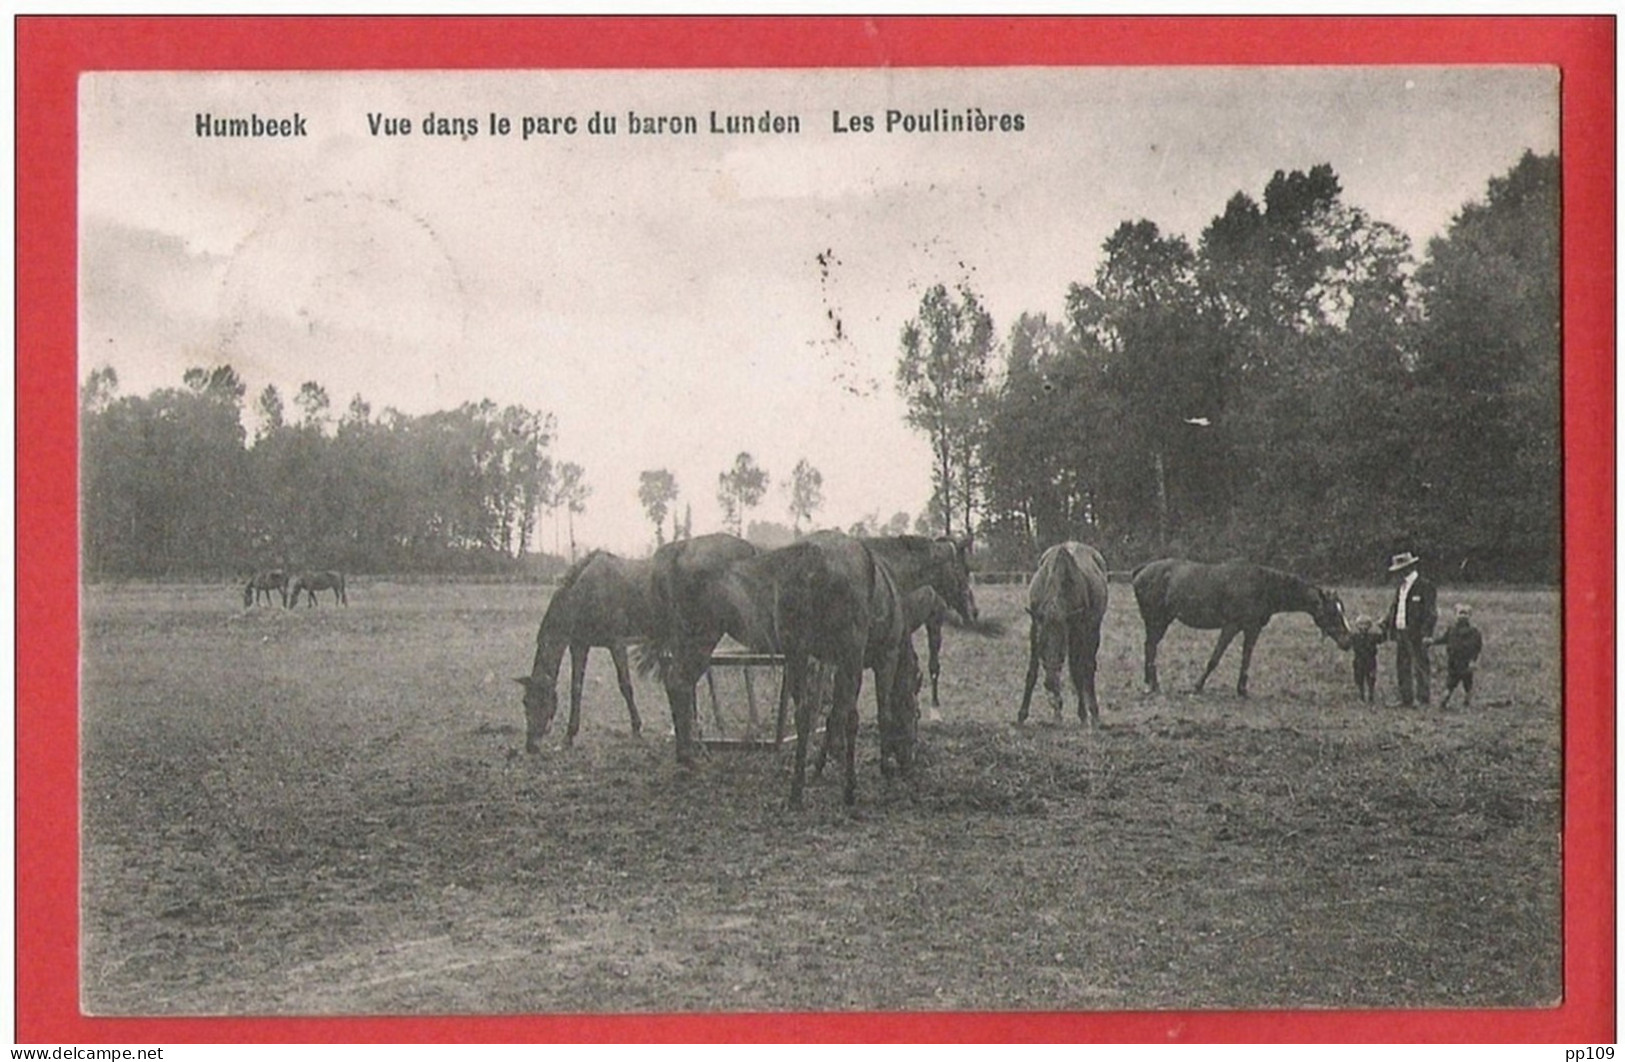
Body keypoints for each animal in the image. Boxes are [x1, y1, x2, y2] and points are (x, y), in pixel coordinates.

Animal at [510, 552, 656, 753]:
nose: (531, 745)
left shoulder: (617, 645)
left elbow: (625, 686)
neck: (586, 594)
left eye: (543, 700)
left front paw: (637, 731)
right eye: (525, 701)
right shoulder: (579, 646)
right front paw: (569, 736)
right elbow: (576, 687)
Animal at [1020, 545, 1111, 727]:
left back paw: (1093, 713)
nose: (1049, 683)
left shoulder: (1077, 631)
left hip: (1093, 632)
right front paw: (1023, 713)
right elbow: (1032, 671)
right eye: (1042, 648)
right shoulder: (1035, 627)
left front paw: (1082, 714)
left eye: (1062, 651)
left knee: (1087, 668)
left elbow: (1078, 671)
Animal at [1131, 558, 1358, 698]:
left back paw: (1150, 683)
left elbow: (1246, 658)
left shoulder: (1252, 629)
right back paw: (1153, 685)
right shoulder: (1231, 626)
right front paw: (1197, 687)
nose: (1348, 641)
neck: (1262, 587)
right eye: (1332, 612)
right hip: (1157, 620)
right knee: (1150, 647)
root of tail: (1142, 570)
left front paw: (1242, 689)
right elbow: (1214, 659)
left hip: (1160, 621)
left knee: (1149, 646)